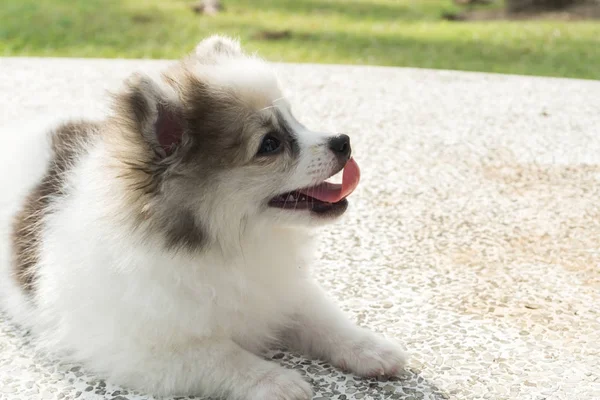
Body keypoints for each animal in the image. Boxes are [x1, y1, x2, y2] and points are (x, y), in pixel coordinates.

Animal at [0, 36, 406, 398]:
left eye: (296, 120)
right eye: (270, 144)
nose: (343, 141)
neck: (231, 243)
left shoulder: (280, 289)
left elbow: (321, 318)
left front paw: (369, 348)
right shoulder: (141, 348)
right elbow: (220, 355)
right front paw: (275, 381)